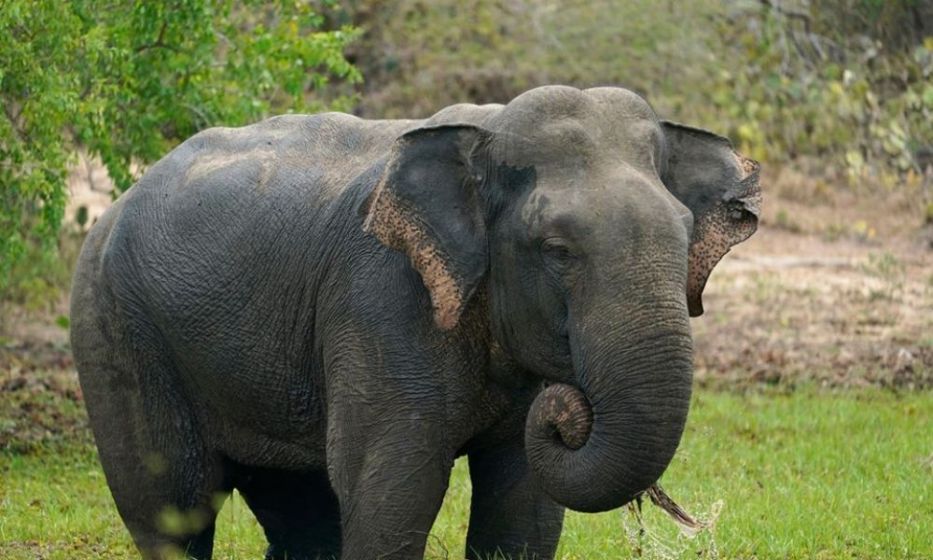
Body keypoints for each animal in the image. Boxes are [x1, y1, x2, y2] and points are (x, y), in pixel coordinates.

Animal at [71, 84, 756, 560]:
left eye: (686, 234)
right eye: (557, 250)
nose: (567, 409)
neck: (483, 133)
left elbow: (523, 508)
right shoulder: (379, 302)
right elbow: (394, 491)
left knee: (300, 513)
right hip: (116, 330)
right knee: (173, 510)